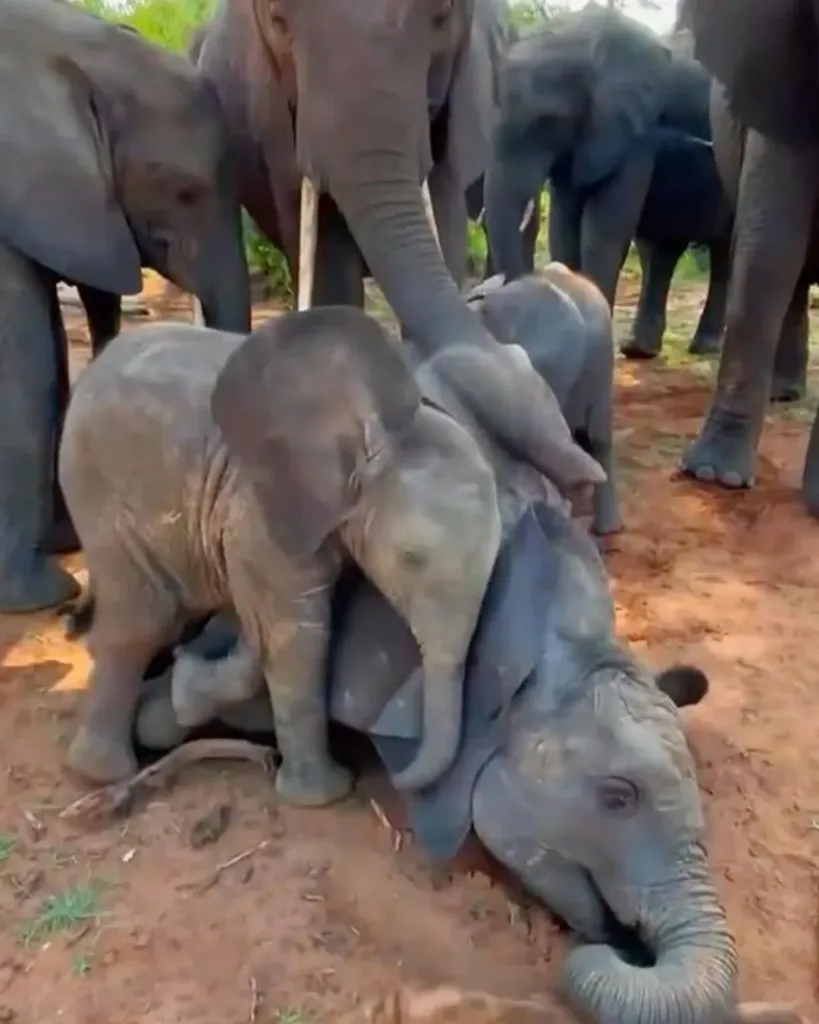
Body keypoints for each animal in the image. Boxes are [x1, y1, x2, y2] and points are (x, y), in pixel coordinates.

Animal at [58, 306, 604, 804]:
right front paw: (321, 797)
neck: (379, 434)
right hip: (97, 491)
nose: (392, 782)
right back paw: (103, 770)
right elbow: (298, 637)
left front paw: (192, 685)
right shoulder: (261, 514)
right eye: (410, 559)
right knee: (140, 620)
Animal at [483, 3, 733, 358]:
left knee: (724, 249)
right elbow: (564, 225)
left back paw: (704, 347)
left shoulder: (635, 132)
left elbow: (602, 228)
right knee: (660, 249)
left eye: (548, 122)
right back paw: (639, 350)